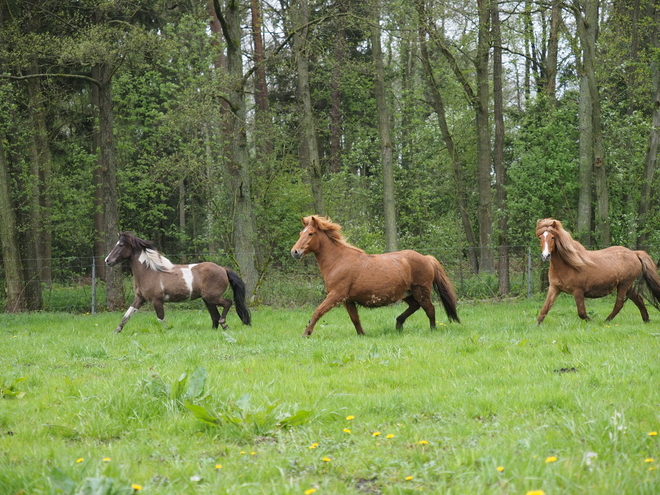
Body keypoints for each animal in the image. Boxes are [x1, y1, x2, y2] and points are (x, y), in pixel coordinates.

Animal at [104, 232, 251, 334]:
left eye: (121, 245)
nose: (107, 260)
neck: (150, 272)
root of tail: (223, 269)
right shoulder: (140, 298)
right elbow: (127, 315)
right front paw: (116, 331)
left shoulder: (157, 300)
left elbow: (161, 319)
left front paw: (168, 331)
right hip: (207, 299)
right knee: (215, 315)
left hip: (212, 297)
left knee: (227, 304)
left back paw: (224, 324)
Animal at [288, 217, 458, 338]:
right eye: (301, 233)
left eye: (310, 233)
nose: (295, 252)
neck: (338, 260)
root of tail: (426, 258)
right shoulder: (347, 299)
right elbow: (355, 318)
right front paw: (362, 335)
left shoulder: (336, 295)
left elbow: (317, 312)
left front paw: (306, 334)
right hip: (407, 293)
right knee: (415, 306)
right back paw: (398, 324)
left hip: (420, 291)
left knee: (429, 309)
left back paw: (432, 330)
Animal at [532, 219, 660, 324]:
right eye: (540, 237)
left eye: (553, 237)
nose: (545, 256)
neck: (567, 265)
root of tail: (634, 253)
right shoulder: (554, 288)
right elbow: (544, 309)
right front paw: (536, 326)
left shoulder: (578, 291)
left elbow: (581, 313)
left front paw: (592, 321)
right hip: (628, 286)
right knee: (639, 299)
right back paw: (646, 320)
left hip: (624, 285)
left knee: (619, 304)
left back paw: (606, 321)